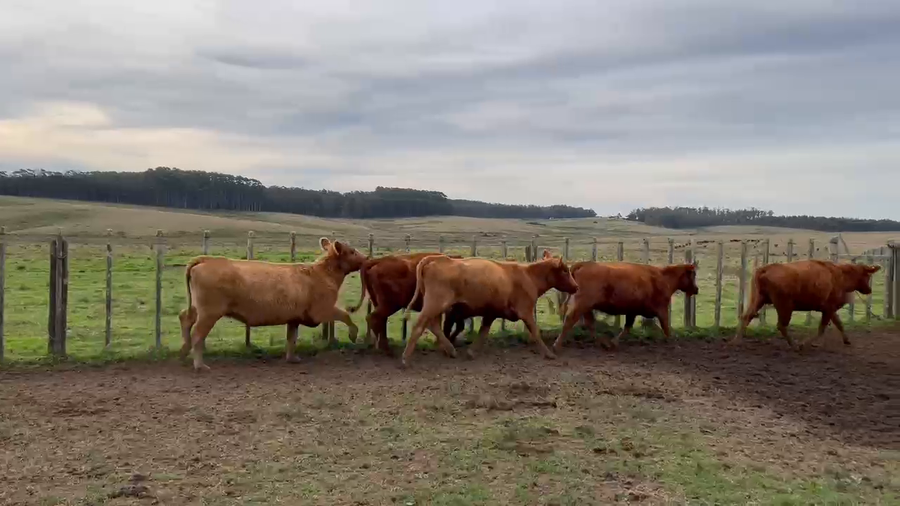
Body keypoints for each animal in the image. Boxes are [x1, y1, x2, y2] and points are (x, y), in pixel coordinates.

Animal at [178, 237, 367, 371]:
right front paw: (353, 334)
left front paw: (292, 359)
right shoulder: (321, 311)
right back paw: (199, 365)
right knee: (197, 335)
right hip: (209, 313)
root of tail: (206, 259)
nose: (366, 258)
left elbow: (291, 338)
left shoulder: (294, 318)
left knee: (185, 319)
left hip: (197, 308)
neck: (321, 273)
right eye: (352, 251)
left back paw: (183, 351)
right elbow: (345, 314)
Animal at [400, 250, 579, 367]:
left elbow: (483, 331)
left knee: (434, 325)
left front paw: (471, 352)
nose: (576, 287)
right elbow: (535, 331)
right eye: (565, 270)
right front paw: (549, 354)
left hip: (438, 306)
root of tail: (437, 259)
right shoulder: (526, 311)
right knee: (419, 326)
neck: (529, 276)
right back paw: (405, 359)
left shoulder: (491, 312)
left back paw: (450, 350)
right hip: (435, 304)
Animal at [552, 262, 699, 351]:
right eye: (693, 275)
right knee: (570, 321)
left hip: (587, 307)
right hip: (582, 304)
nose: (696, 289)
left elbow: (627, 327)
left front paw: (614, 342)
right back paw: (556, 345)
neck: (663, 277)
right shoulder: (662, 310)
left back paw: (603, 343)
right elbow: (667, 328)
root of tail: (585, 264)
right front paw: (676, 345)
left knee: (589, 324)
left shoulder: (632, 311)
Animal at [733, 260, 880, 351]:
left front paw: (847, 340)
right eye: (867, 276)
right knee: (781, 325)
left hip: (759, 300)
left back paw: (736, 341)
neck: (841, 275)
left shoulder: (830, 309)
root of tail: (764, 269)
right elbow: (821, 329)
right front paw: (805, 344)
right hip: (785, 306)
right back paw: (794, 345)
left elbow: (839, 324)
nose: (869, 290)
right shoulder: (828, 308)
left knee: (747, 316)